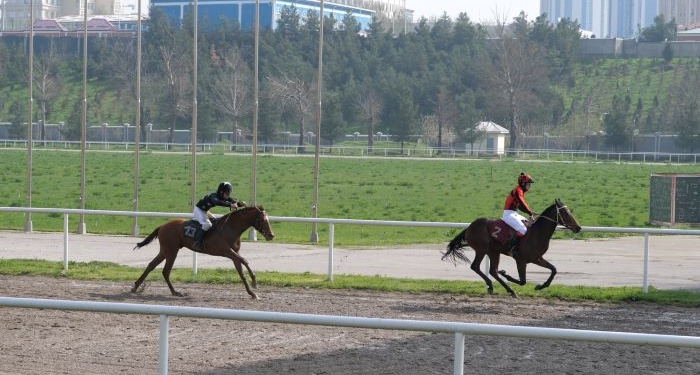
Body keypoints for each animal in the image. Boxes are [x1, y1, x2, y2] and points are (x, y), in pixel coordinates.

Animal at [131, 206, 274, 300]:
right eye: (263, 220)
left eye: (268, 220)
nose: (271, 235)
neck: (230, 228)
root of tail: (162, 226)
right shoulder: (225, 251)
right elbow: (245, 260)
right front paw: (255, 282)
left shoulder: (234, 253)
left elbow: (241, 273)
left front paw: (252, 293)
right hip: (172, 251)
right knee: (165, 271)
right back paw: (175, 292)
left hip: (165, 250)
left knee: (151, 265)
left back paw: (136, 287)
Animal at [442, 198, 580, 298]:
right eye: (565, 212)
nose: (578, 228)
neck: (536, 233)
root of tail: (470, 227)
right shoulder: (520, 260)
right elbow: (523, 281)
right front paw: (506, 274)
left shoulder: (536, 258)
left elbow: (554, 269)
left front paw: (540, 286)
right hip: (482, 249)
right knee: (476, 266)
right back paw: (494, 285)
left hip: (493, 251)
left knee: (492, 271)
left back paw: (505, 289)